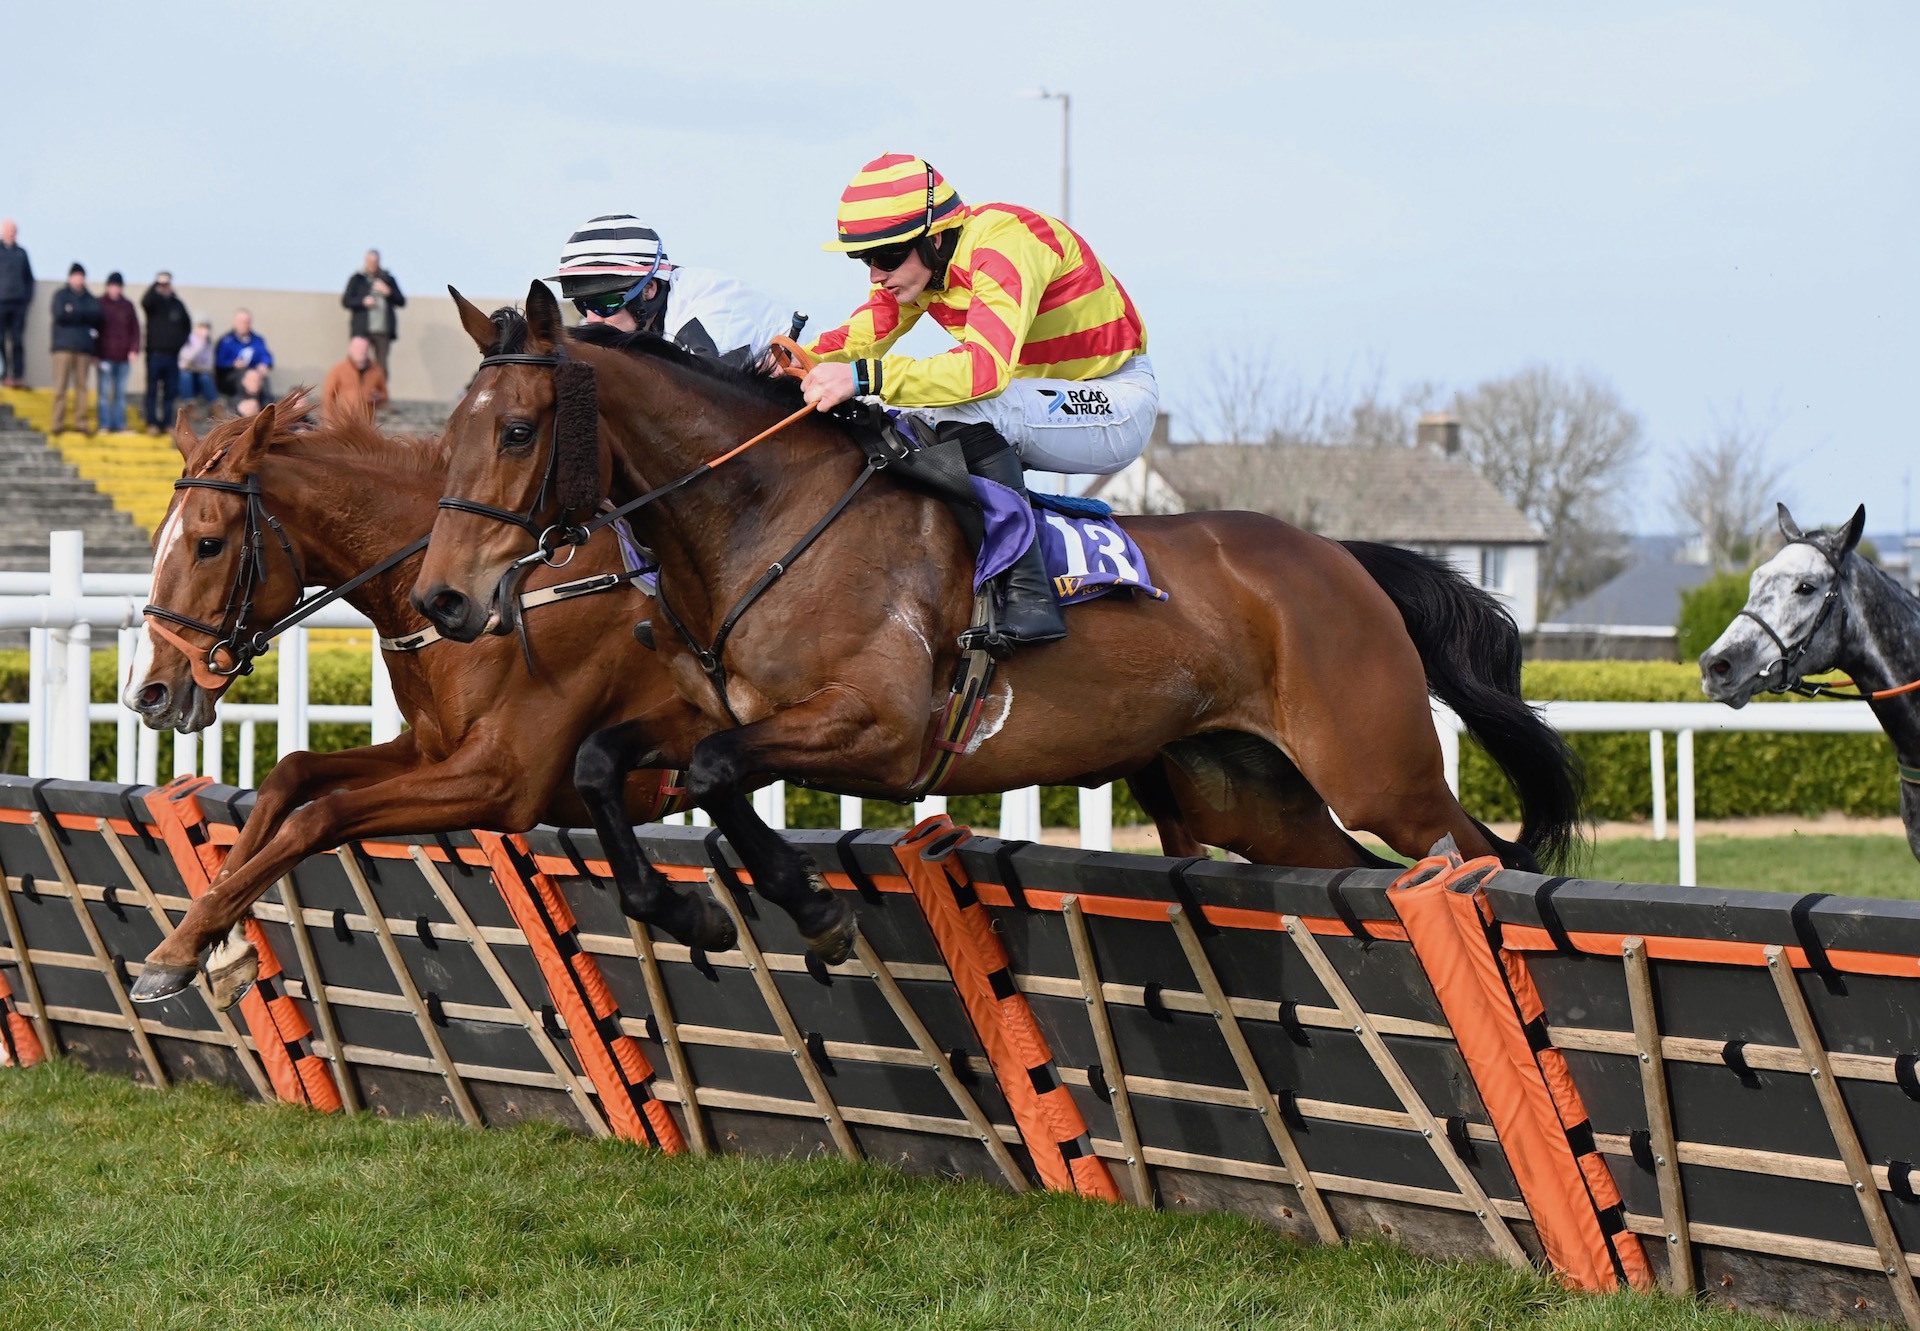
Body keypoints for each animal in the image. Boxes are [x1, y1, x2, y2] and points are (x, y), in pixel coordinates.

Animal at [120, 399, 733, 998]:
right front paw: (218, 941)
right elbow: (291, 773)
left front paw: (179, 948)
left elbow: (319, 815)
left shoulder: (502, 779)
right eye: (155, 541)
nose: (146, 691)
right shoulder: (429, 751)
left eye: (208, 544)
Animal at [412, 282, 1582, 964]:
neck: (764, 515)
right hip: (1253, 792)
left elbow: (713, 776)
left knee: (1474, 852)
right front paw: (691, 907)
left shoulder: (876, 727)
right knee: (1354, 863)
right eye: (445, 440)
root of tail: (1343, 557)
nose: (442, 599)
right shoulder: (724, 713)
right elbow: (616, 763)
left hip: (1379, 769)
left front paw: (811, 904)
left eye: (516, 431)